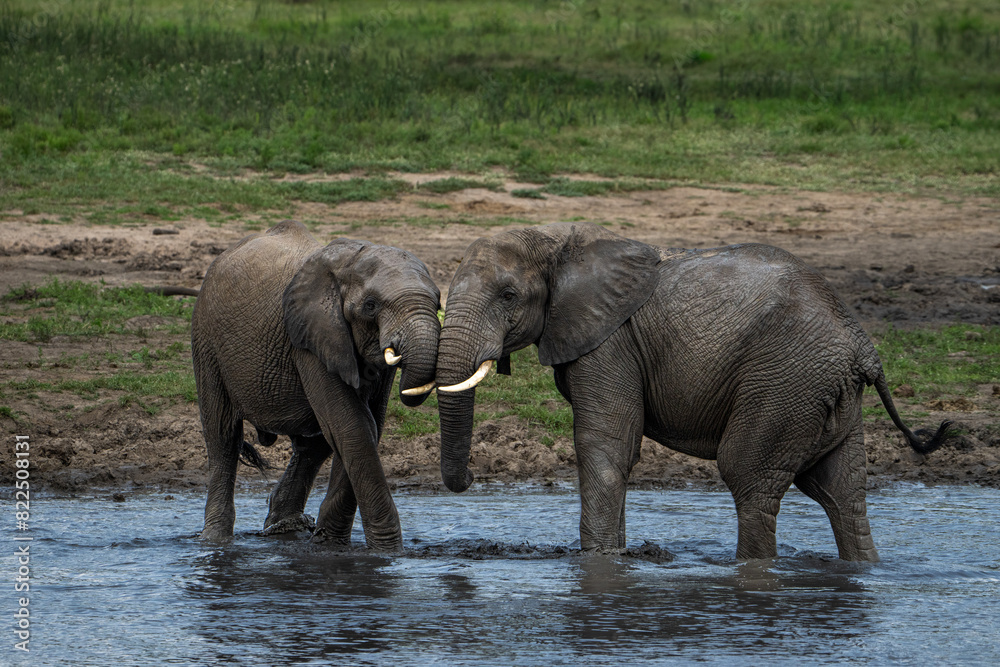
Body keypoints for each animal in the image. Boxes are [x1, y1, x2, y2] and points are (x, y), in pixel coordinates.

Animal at [191, 220, 440, 549]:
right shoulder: (310, 338)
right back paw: (215, 540)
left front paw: (330, 543)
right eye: (370, 306)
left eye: (438, 301)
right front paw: (387, 552)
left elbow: (366, 425)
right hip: (206, 339)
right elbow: (353, 426)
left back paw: (285, 527)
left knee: (313, 444)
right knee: (223, 437)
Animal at [434, 221, 950, 561]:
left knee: (749, 479)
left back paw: (752, 569)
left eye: (508, 296)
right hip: (824, 392)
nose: (473, 479)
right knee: (841, 492)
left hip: (786, 383)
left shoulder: (610, 343)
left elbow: (606, 448)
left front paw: (598, 564)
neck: (557, 238)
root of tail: (863, 345)